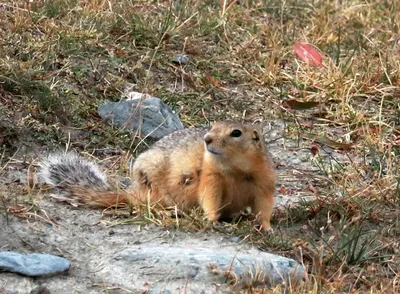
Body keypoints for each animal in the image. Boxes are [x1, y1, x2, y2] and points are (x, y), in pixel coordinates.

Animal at [39, 120, 276, 231]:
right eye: (213, 126)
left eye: (236, 133)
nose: (207, 139)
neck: (236, 170)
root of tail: (130, 192)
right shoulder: (211, 177)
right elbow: (209, 198)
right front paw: (211, 219)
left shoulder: (264, 180)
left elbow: (264, 206)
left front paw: (266, 227)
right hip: (151, 181)